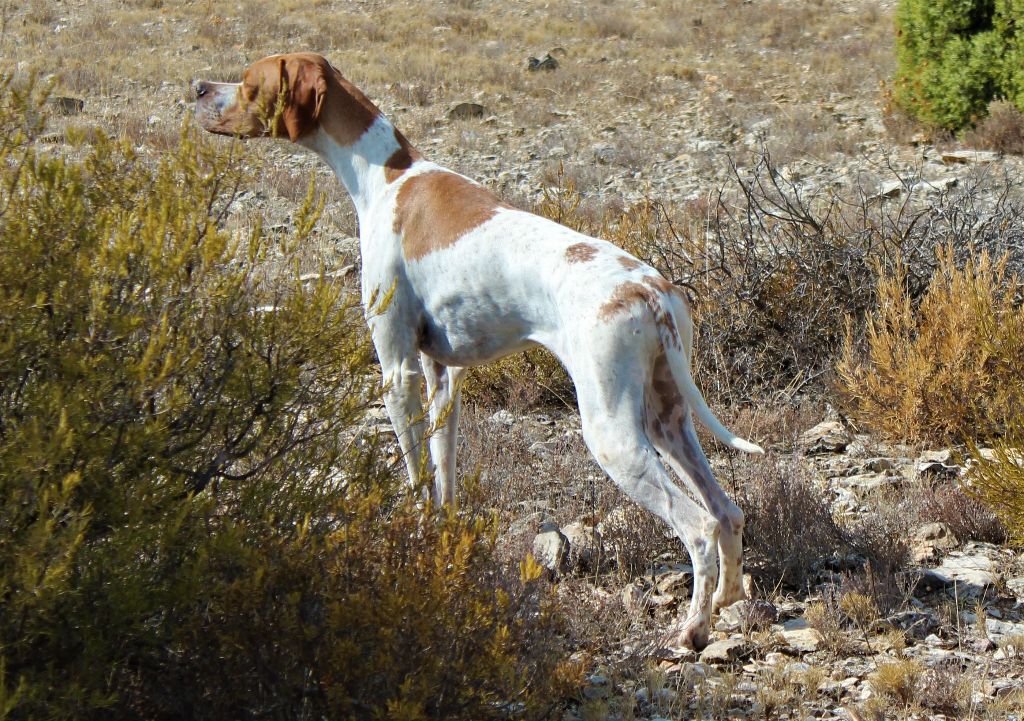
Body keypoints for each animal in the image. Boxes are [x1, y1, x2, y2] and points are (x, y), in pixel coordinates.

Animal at [195, 53, 765, 651]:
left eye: (250, 81)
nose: (199, 88)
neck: (386, 176)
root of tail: (650, 290)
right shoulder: (441, 373)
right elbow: (443, 469)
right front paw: (444, 541)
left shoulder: (397, 370)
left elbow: (416, 473)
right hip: (666, 421)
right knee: (728, 511)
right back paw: (727, 600)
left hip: (612, 436)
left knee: (698, 527)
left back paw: (692, 629)